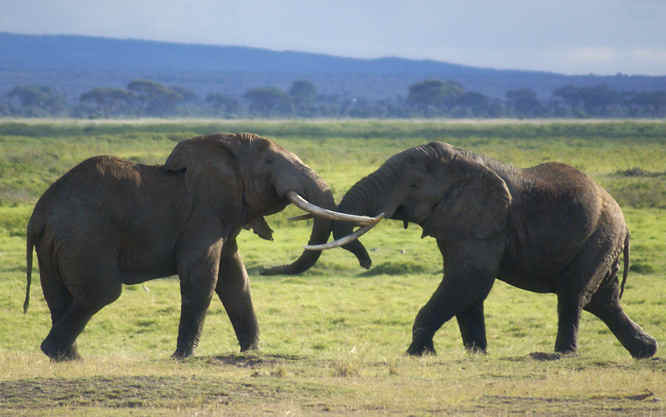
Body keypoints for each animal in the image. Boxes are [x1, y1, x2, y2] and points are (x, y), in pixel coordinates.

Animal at [23, 133, 374, 360]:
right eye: (270, 161)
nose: (270, 269)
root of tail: (39, 215)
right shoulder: (204, 212)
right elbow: (202, 275)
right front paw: (183, 356)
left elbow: (236, 280)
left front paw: (252, 352)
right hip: (85, 238)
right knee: (101, 293)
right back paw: (59, 353)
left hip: (56, 245)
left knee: (59, 296)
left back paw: (66, 356)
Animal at [316, 141, 652, 356]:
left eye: (412, 186)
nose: (366, 263)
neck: (462, 163)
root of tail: (623, 220)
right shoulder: (460, 224)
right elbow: (468, 287)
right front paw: (476, 354)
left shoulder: (485, 223)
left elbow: (469, 279)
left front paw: (417, 354)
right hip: (601, 243)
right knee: (603, 301)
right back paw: (646, 351)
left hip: (598, 238)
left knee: (573, 296)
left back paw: (560, 355)